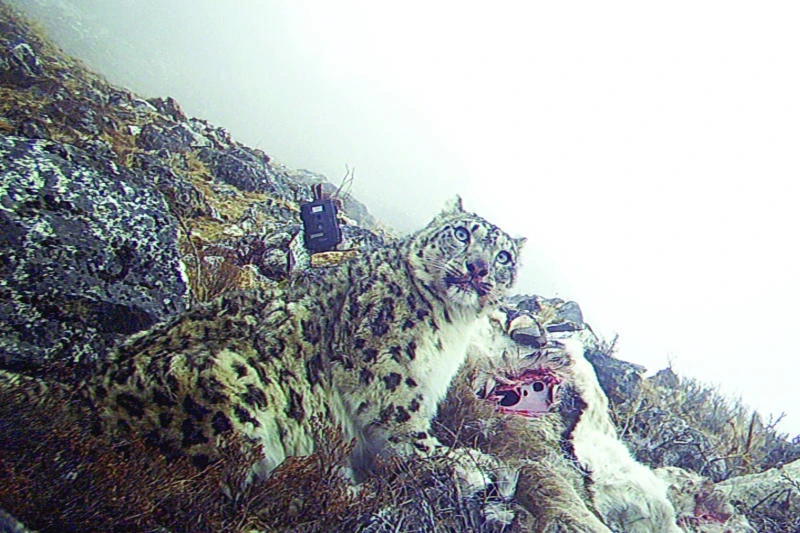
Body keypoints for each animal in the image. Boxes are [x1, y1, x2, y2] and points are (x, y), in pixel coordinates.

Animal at [1, 196, 525, 486]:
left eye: (503, 257)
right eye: (461, 233)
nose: (479, 268)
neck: (451, 328)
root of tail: (82, 390)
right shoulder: (389, 373)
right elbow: (407, 430)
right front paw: (467, 463)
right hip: (228, 390)